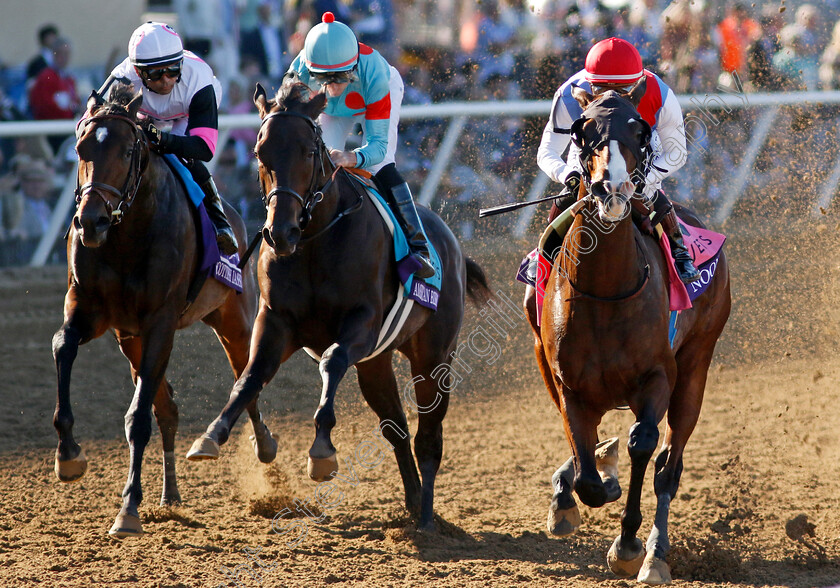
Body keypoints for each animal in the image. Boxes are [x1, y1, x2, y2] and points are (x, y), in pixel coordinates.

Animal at [52, 85, 278, 540]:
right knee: (168, 408)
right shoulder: (92, 310)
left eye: (126, 152)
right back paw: (169, 496)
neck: (126, 235)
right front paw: (68, 454)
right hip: (131, 339)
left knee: (245, 370)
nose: (91, 222)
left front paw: (127, 512)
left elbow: (138, 418)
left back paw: (263, 445)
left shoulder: (160, 322)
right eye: (81, 148)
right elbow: (63, 345)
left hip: (233, 319)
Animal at [184, 80, 492, 532]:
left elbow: (330, 361)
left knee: (428, 438)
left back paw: (427, 518)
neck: (314, 242)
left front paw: (322, 452)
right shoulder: (276, 323)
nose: (280, 232)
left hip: (434, 355)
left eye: (308, 152)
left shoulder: (361, 325)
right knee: (397, 428)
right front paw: (212, 434)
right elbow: (249, 377)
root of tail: (451, 242)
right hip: (376, 364)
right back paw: (413, 503)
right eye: (260, 152)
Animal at [524, 81, 728, 584]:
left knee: (668, 468)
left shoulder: (658, 377)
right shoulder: (569, 384)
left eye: (640, 130)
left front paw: (629, 544)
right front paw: (589, 484)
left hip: (697, 365)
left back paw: (656, 554)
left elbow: (643, 443)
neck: (605, 292)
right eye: (581, 131)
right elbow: (585, 474)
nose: (613, 188)